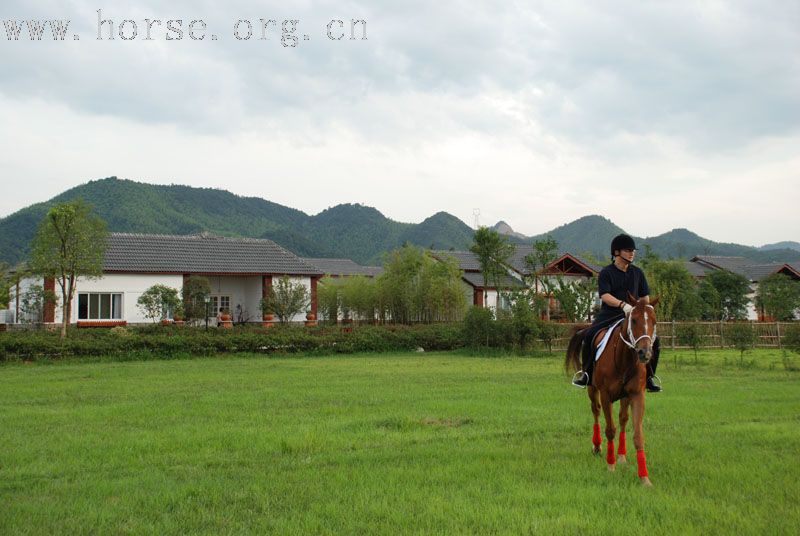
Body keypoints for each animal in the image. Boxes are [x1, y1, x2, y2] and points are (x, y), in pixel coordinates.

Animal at [564, 294, 656, 486]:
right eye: (634, 320)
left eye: (654, 321)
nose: (645, 353)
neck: (623, 358)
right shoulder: (606, 396)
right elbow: (610, 429)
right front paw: (610, 465)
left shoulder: (637, 395)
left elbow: (638, 435)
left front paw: (644, 478)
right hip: (592, 390)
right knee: (596, 412)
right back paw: (598, 447)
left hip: (624, 397)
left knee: (623, 419)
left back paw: (621, 456)